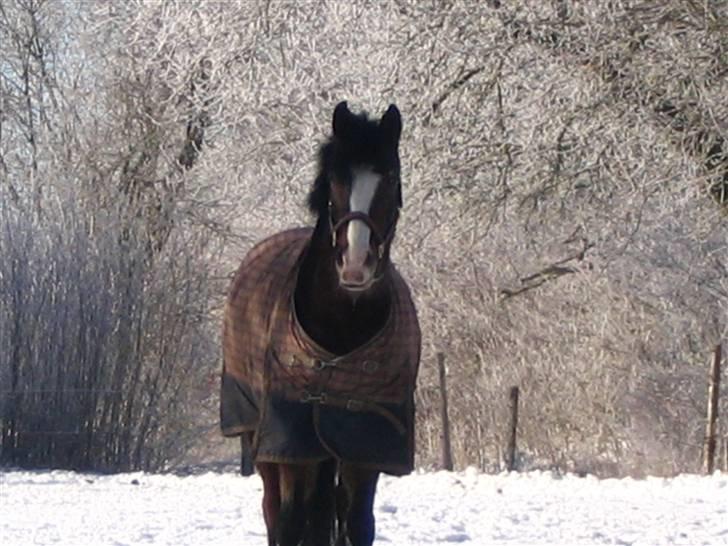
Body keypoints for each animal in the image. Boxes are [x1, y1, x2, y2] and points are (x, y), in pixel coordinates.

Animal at [220, 102, 420, 544]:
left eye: (391, 175)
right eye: (334, 178)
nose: (355, 264)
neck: (343, 325)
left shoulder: (363, 446)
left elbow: (358, 523)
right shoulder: (291, 444)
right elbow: (291, 521)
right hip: (264, 443)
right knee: (276, 512)